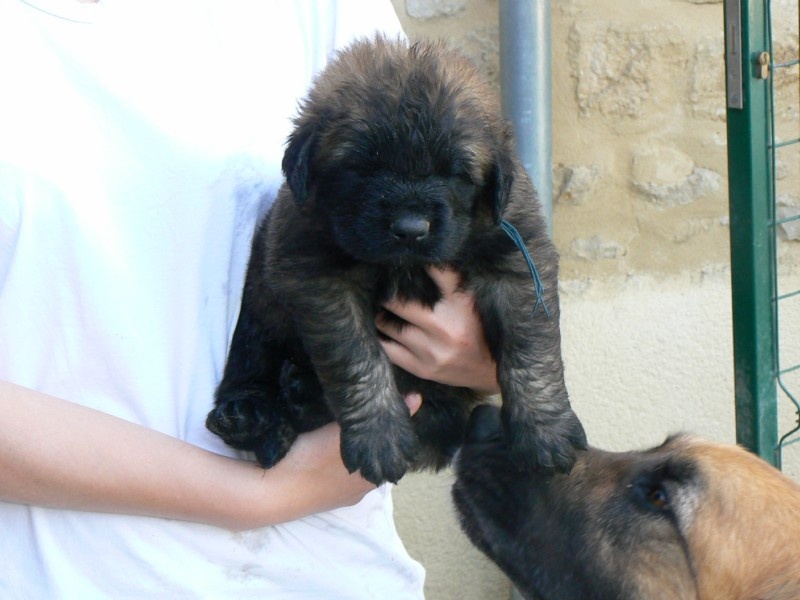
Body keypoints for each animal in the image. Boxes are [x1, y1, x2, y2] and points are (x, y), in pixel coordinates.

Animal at [205, 35, 588, 486]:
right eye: (362, 167)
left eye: (455, 172)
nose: (410, 228)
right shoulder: (318, 276)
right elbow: (355, 357)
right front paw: (378, 434)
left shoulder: (518, 259)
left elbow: (531, 349)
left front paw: (547, 430)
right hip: (259, 305)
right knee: (249, 361)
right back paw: (247, 413)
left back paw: (299, 394)